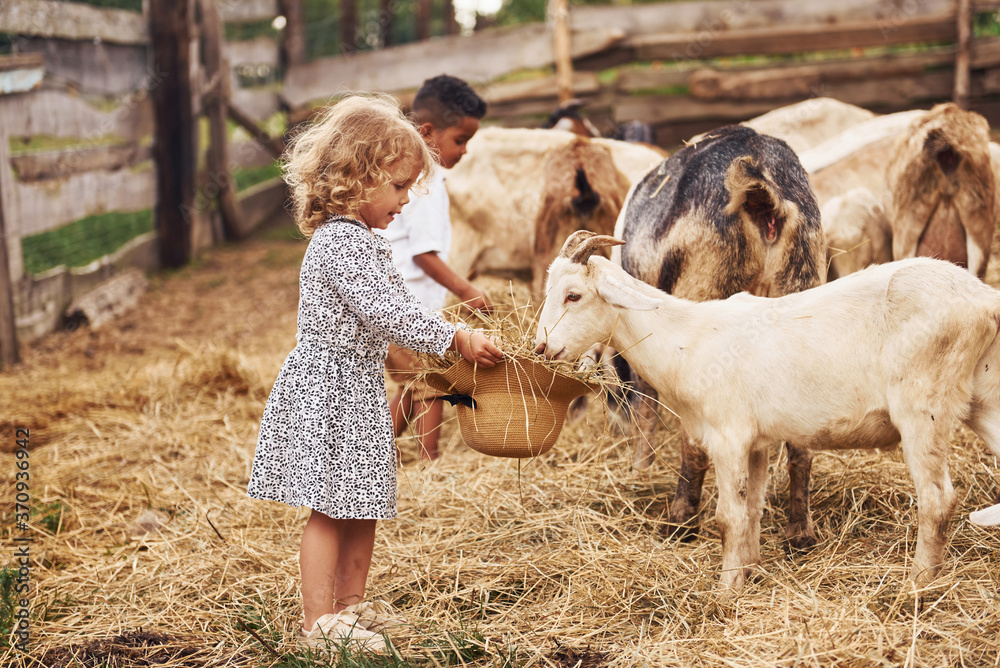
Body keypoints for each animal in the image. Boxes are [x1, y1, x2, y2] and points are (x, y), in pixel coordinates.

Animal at [536, 232, 1000, 592]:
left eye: (574, 295)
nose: (541, 348)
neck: (687, 339)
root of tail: (984, 299)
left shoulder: (728, 437)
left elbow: (728, 518)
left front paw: (725, 592)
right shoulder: (756, 444)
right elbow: (752, 512)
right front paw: (748, 572)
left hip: (924, 407)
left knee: (937, 499)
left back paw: (917, 584)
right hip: (984, 398)